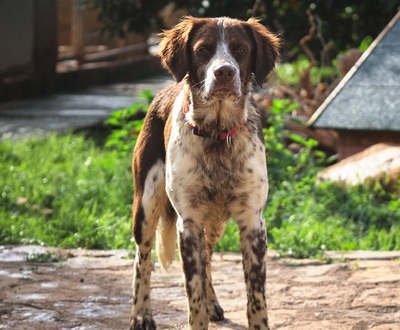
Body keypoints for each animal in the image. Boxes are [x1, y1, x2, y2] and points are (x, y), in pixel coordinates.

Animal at [130, 16, 278, 330]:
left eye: (241, 49)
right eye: (203, 49)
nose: (224, 72)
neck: (217, 134)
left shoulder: (252, 221)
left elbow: (256, 298)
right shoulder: (189, 223)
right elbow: (193, 293)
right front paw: (197, 313)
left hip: (215, 223)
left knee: (208, 255)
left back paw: (213, 303)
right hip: (146, 204)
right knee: (142, 258)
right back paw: (141, 314)